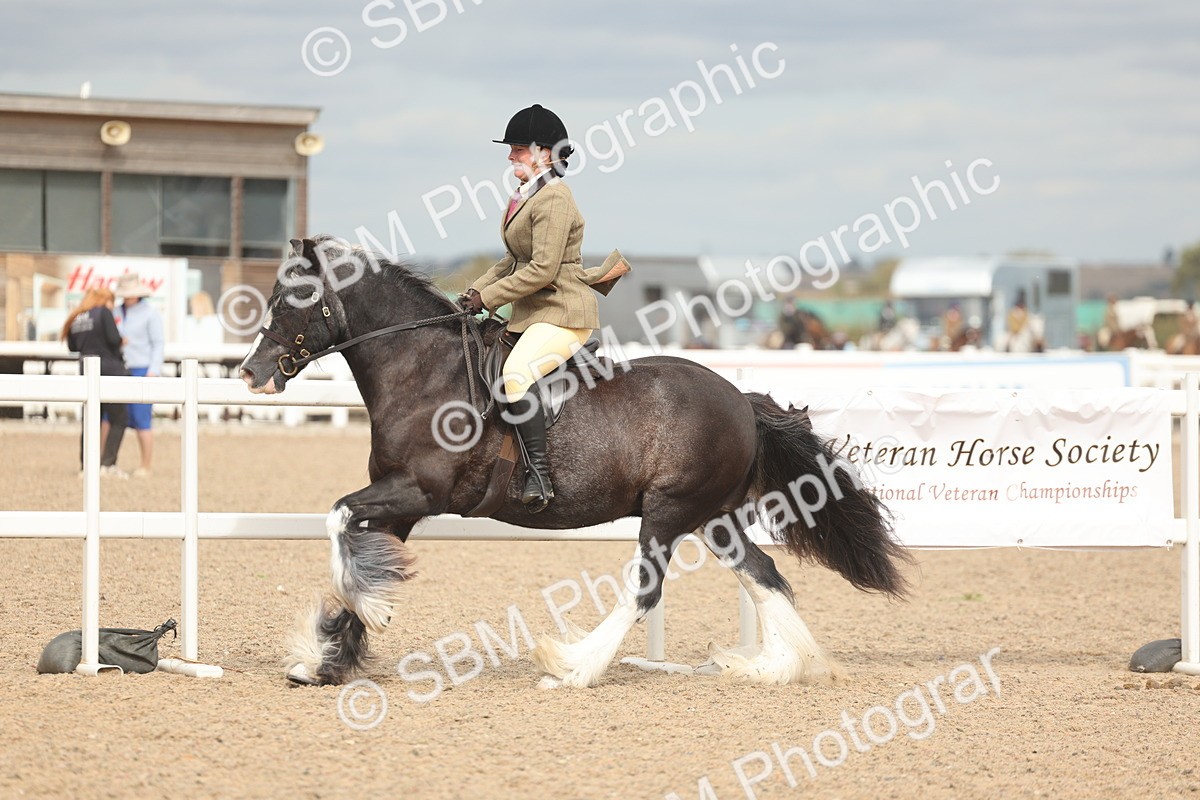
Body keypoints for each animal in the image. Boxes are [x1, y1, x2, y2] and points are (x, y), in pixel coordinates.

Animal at [239, 236, 910, 689]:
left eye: (293, 297)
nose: (250, 372)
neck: (422, 370)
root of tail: (741, 400)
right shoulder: (398, 499)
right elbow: (358, 545)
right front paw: (328, 660)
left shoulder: (419, 491)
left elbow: (336, 519)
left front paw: (362, 618)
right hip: (711, 518)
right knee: (764, 574)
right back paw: (778, 665)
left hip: (669, 513)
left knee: (646, 590)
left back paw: (572, 667)